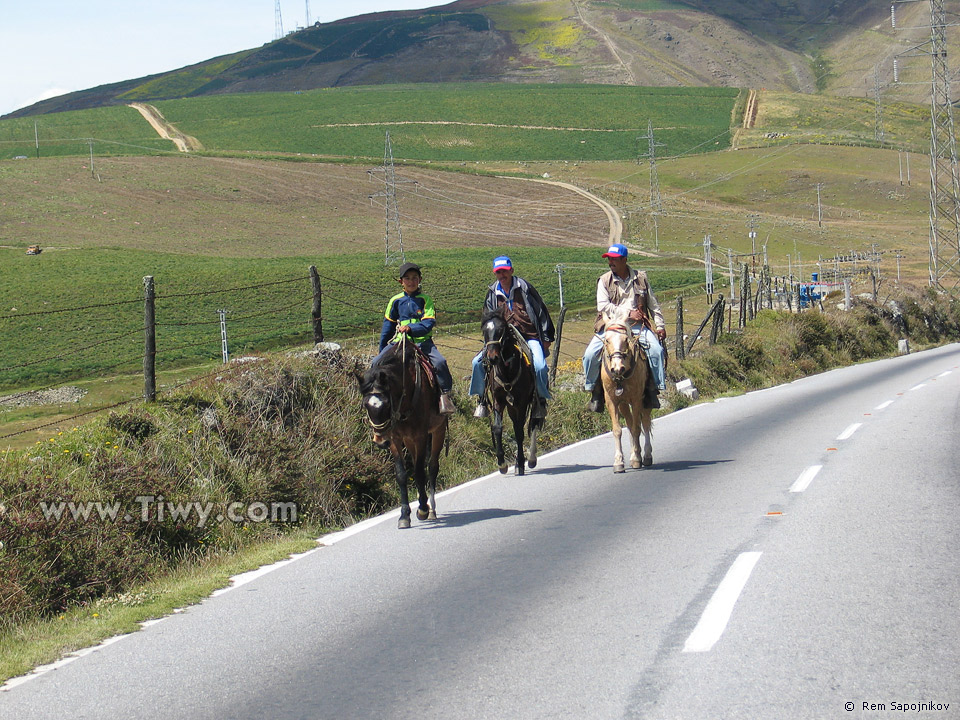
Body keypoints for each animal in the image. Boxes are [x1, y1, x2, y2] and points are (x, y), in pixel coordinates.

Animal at [358, 338, 448, 528]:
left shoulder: (421, 436)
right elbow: (401, 474)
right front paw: (405, 515)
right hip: (409, 439)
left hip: (438, 430)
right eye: (365, 404)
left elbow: (420, 472)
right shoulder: (395, 438)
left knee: (432, 466)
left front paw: (423, 509)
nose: (380, 441)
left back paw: (431, 508)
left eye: (386, 403)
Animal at [478, 306, 540, 476]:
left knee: (533, 423)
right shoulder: (499, 401)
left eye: (501, 329)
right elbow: (498, 428)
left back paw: (530, 459)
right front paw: (502, 463)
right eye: (484, 330)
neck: (507, 371)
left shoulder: (522, 402)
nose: (492, 357)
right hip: (511, 407)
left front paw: (521, 463)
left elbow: (519, 432)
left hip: (529, 402)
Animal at [600, 308, 652, 472]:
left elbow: (637, 427)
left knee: (645, 423)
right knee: (630, 423)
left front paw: (636, 459)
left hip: (646, 400)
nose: (617, 368)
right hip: (623, 404)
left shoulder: (636, 400)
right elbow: (618, 430)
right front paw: (619, 462)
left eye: (625, 339)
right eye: (607, 340)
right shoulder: (612, 401)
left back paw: (645, 455)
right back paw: (635, 452)